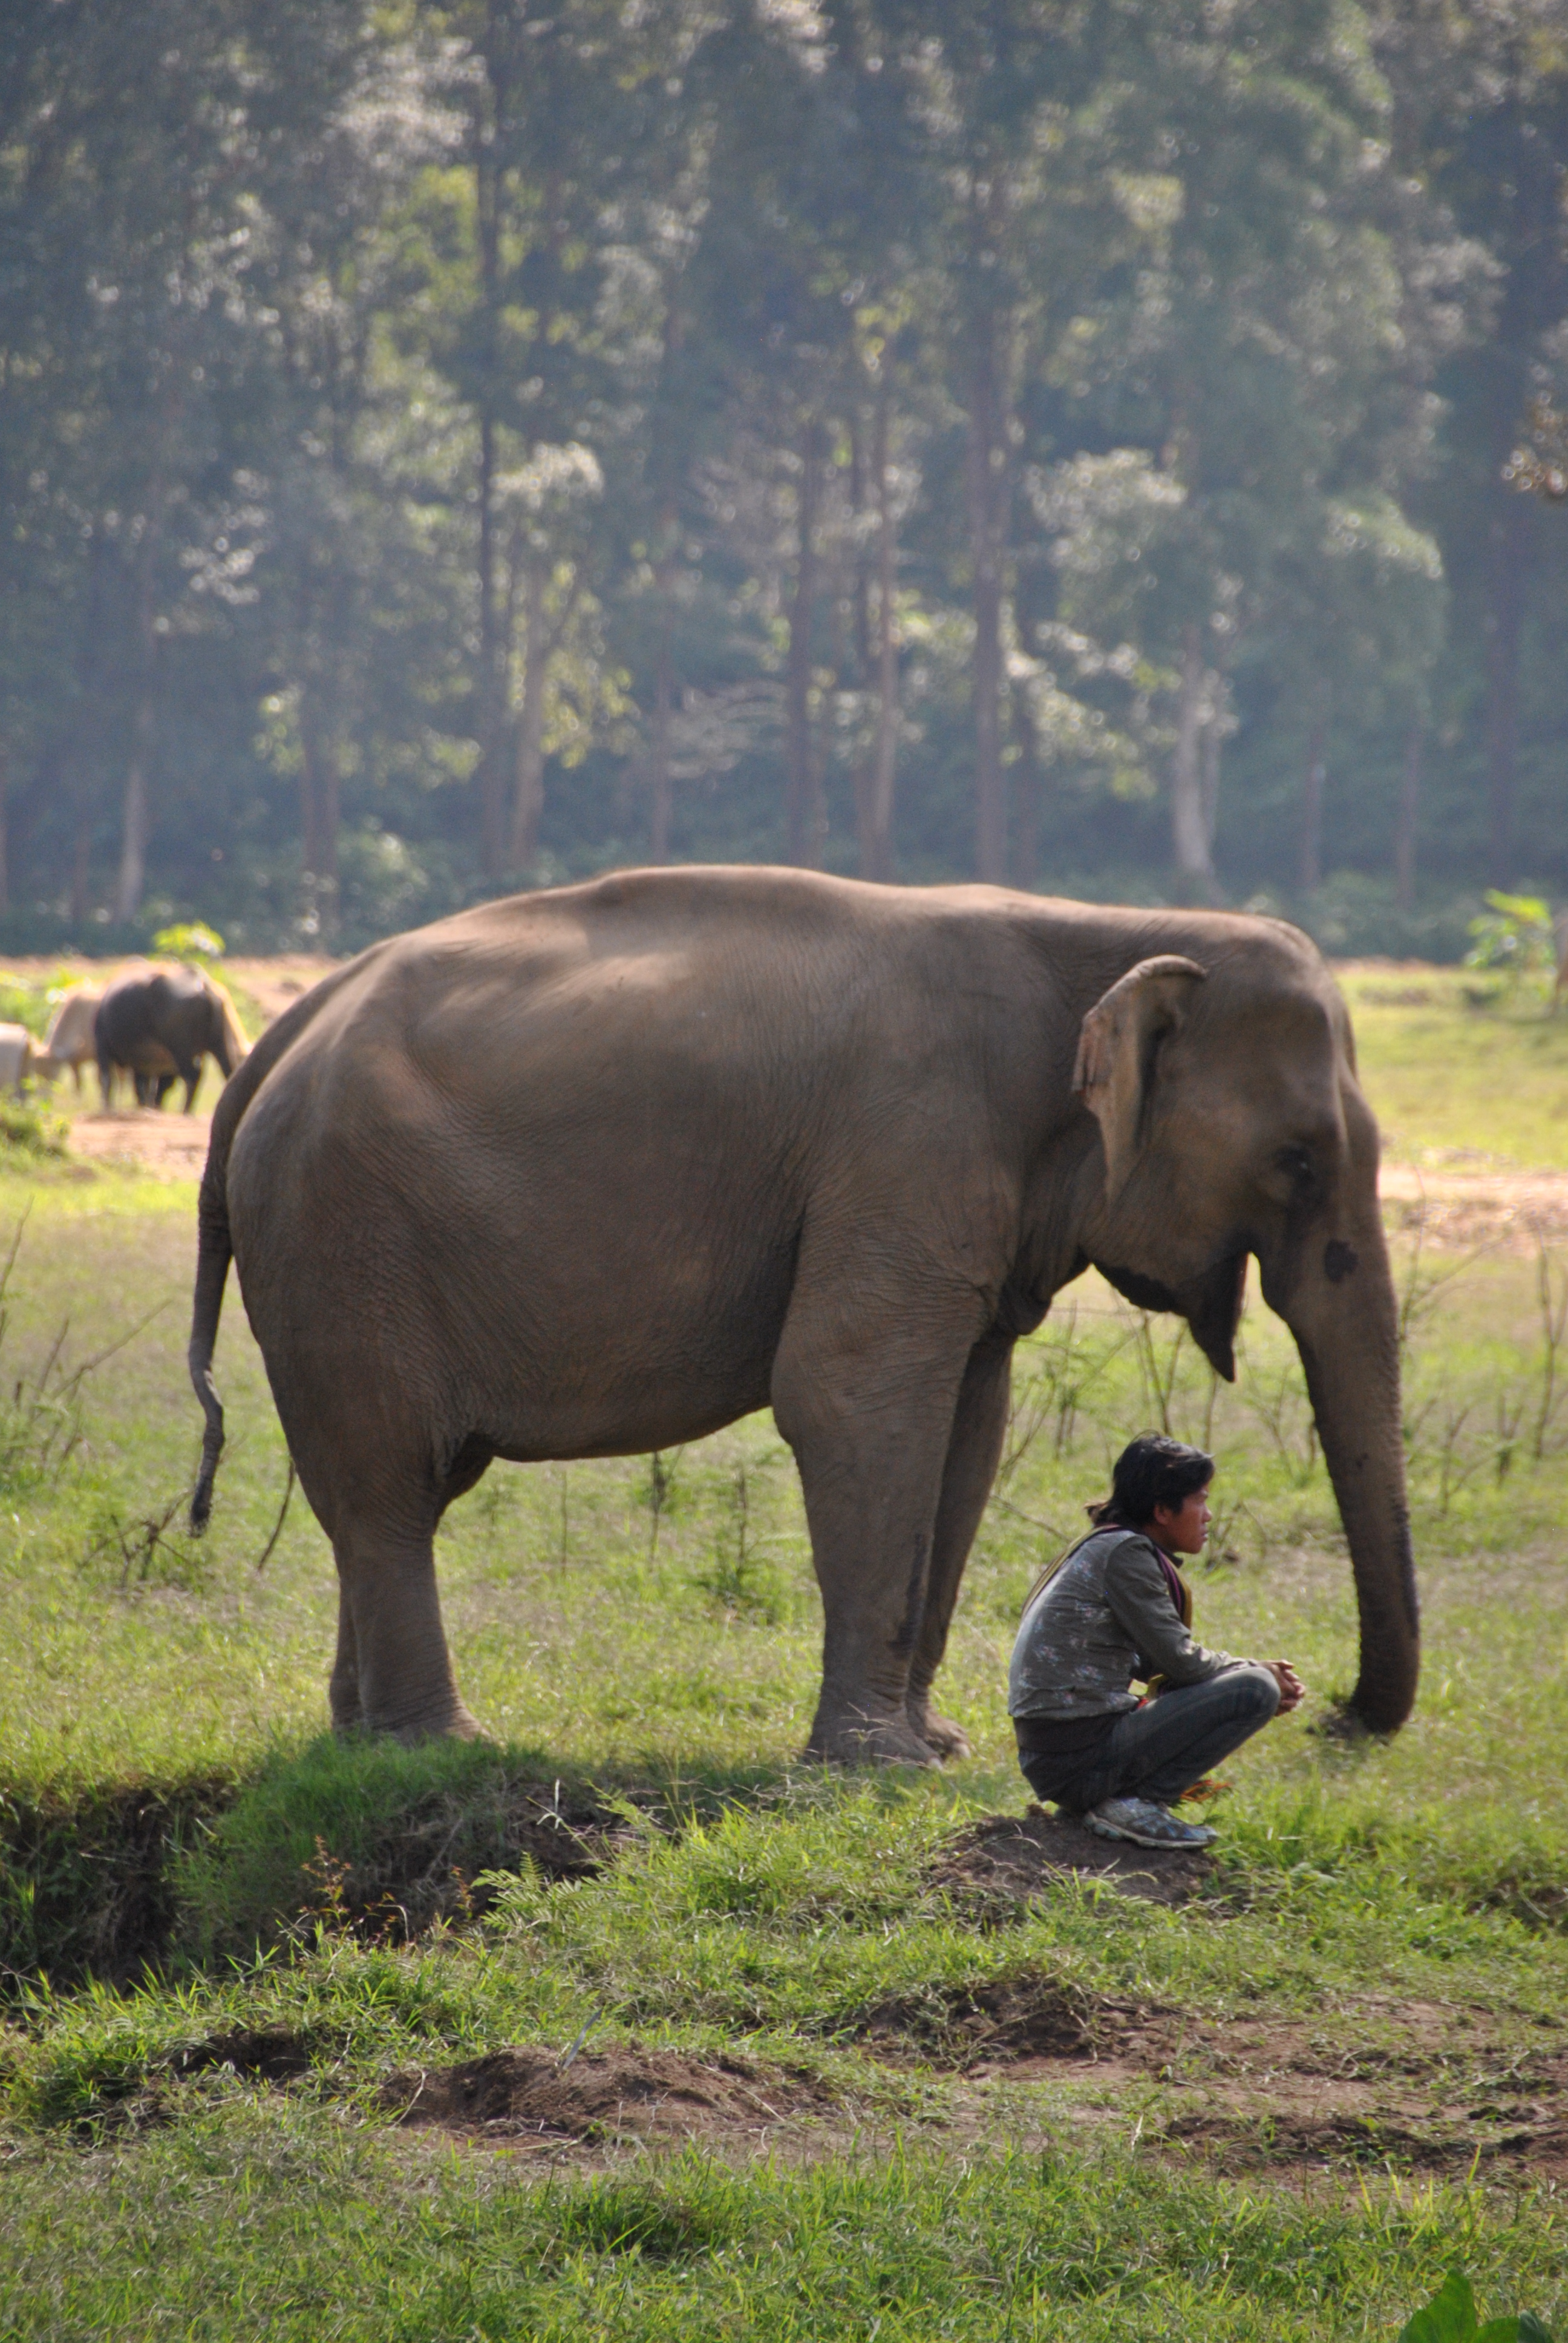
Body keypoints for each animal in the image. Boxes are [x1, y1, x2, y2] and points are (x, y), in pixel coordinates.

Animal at [96, 955, 247, 1110]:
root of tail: (204, 987)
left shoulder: (103, 1047)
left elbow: (108, 1081)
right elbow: (147, 1086)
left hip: (181, 1050)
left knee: (192, 1077)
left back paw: (184, 1110)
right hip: (219, 1044)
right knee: (230, 1072)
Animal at [186, 862, 1416, 1761]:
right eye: (1298, 1160)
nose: (1339, 1717)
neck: (1103, 930)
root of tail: (280, 1038)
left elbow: (966, 1431)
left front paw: (937, 1748)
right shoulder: (906, 1141)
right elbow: (852, 1399)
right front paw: (876, 1764)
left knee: (398, 1494)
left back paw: (360, 1745)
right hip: (343, 1237)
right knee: (391, 1484)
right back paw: (442, 1750)